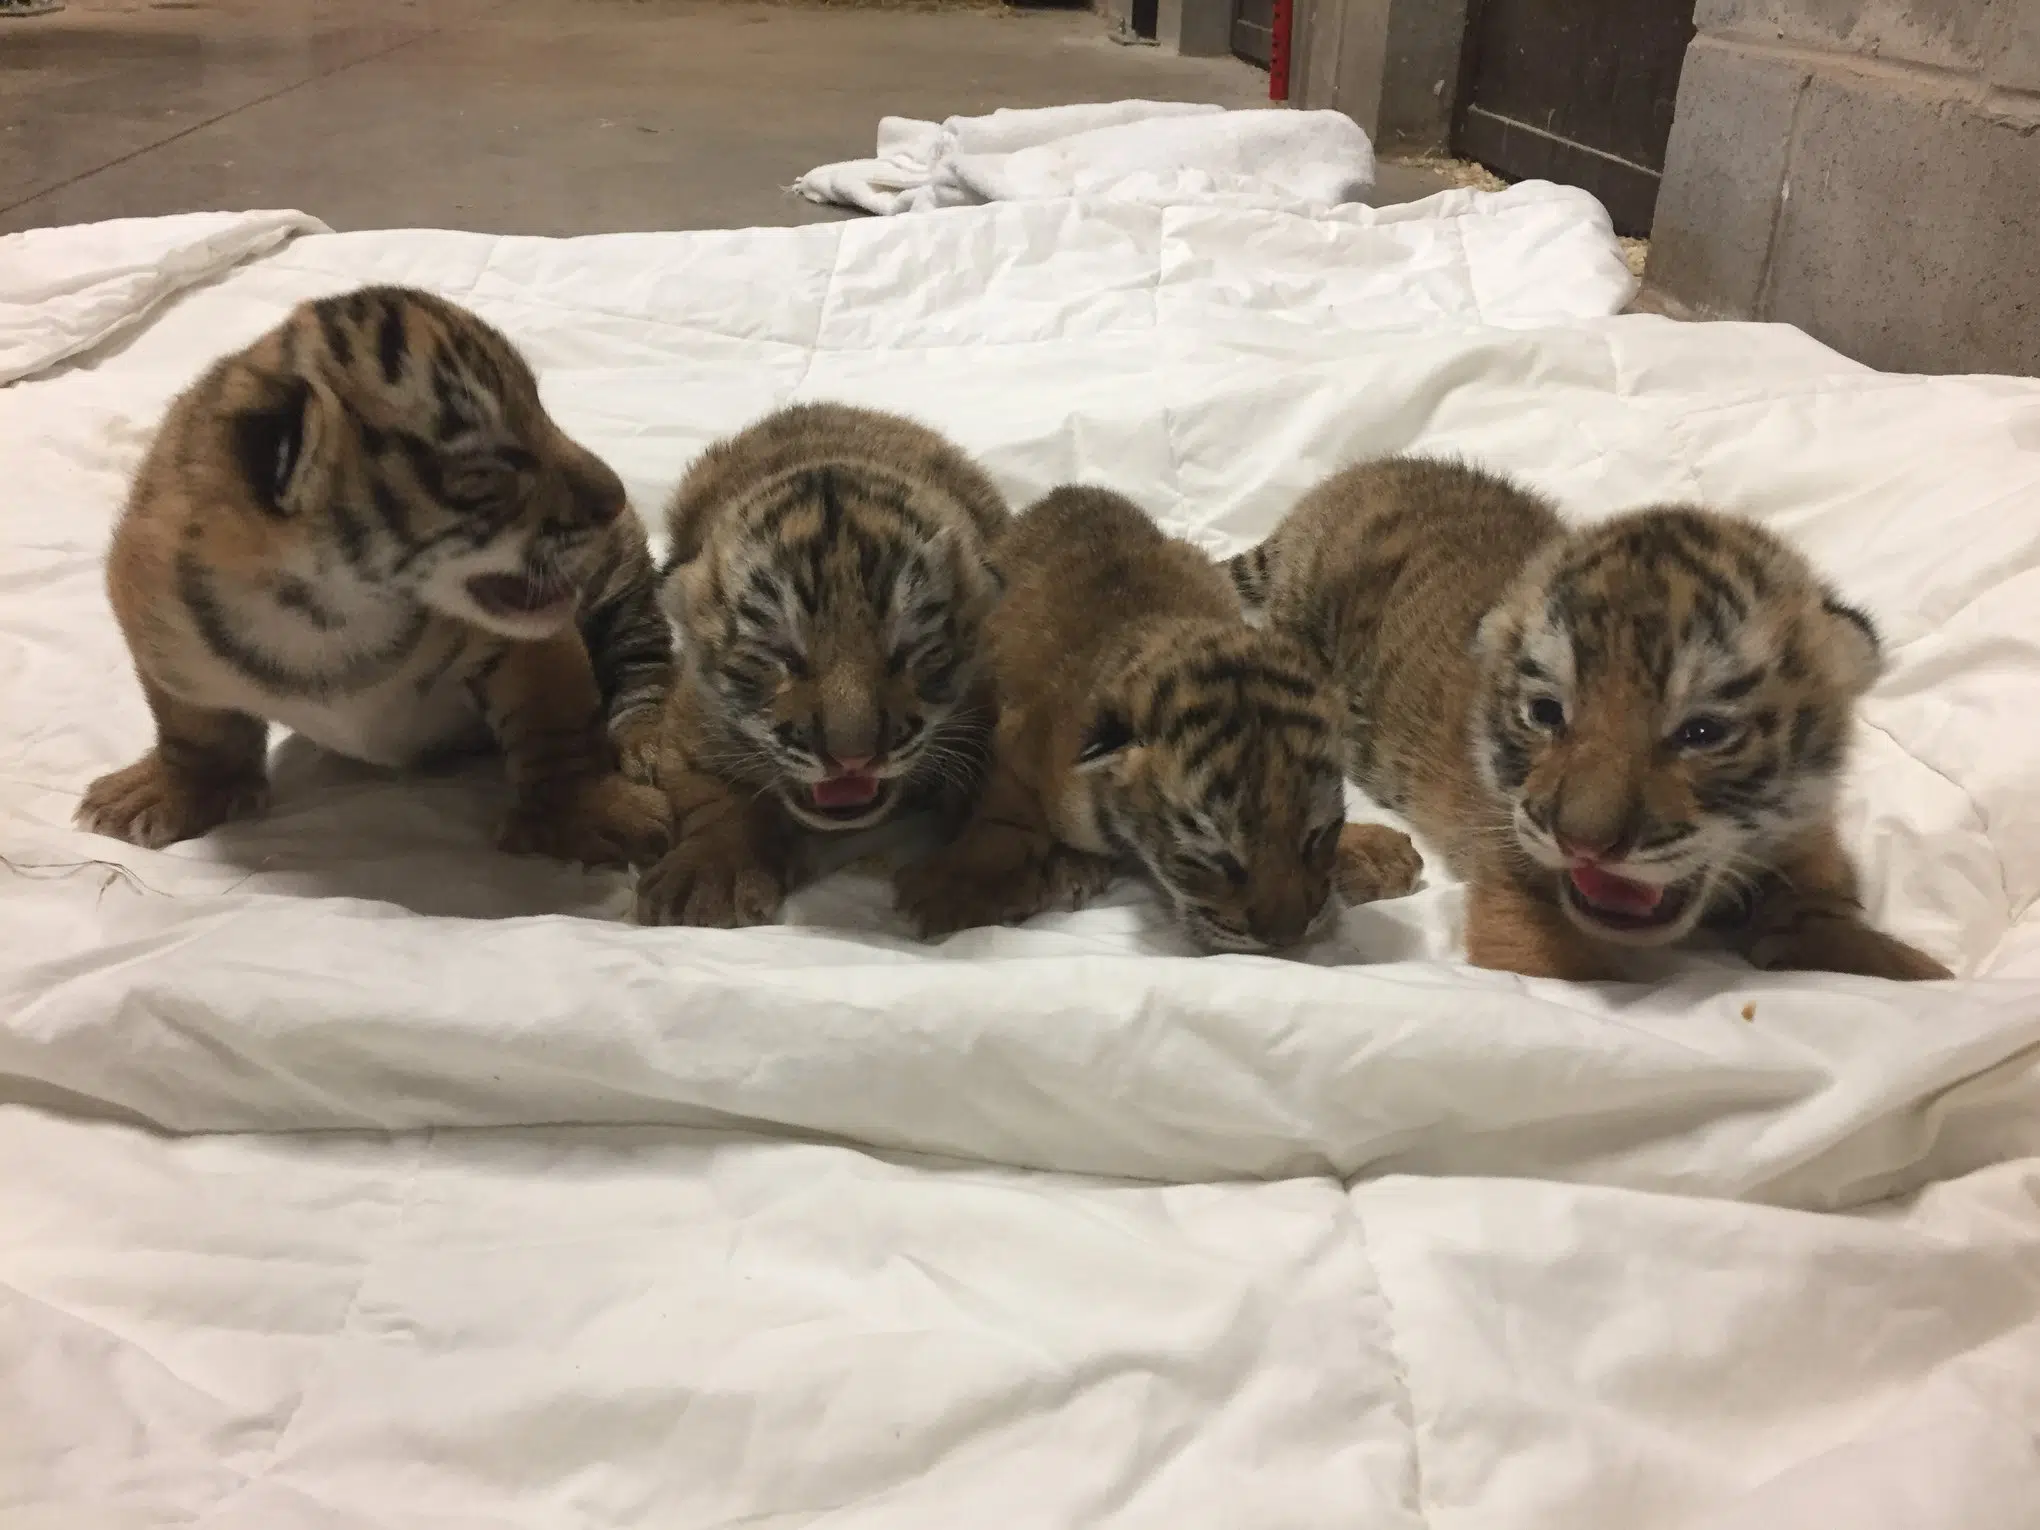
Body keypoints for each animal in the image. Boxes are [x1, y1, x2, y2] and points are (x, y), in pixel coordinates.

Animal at [74, 285, 673, 869]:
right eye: (490, 462)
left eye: (542, 412)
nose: (617, 496)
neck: (329, 613)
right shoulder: (157, 627)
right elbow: (194, 731)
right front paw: (178, 789)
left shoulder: (529, 648)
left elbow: (557, 727)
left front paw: (589, 811)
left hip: (620, 581)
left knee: (642, 659)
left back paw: (647, 743)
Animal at [635, 402, 1010, 927]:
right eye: (782, 656)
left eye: (908, 651)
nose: (853, 759)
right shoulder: (687, 726)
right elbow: (710, 793)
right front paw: (709, 876)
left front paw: (970, 876)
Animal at [895, 485, 1422, 951]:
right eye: (1215, 859)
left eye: (1317, 836)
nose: (1287, 938)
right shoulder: (1019, 747)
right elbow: (1004, 822)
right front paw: (947, 886)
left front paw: (1374, 852)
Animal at [1230, 455, 1952, 983]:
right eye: (1547, 714)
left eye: (1701, 733)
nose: (1582, 843)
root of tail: (1348, 479)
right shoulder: (1516, 905)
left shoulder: (1806, 841)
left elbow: (1829, 910)